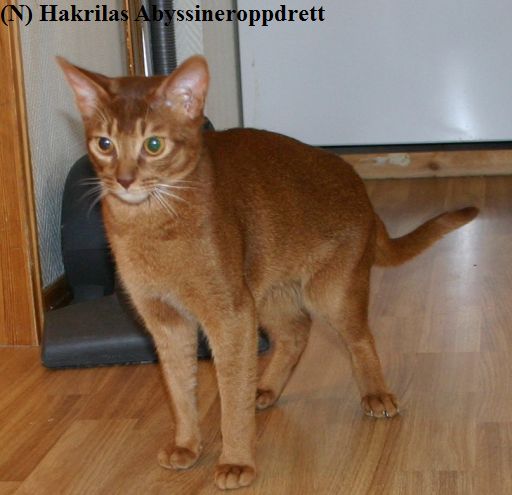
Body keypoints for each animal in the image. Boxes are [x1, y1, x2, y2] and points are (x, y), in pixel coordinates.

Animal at [58, 55, 478, 490]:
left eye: (153, 145)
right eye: (104, 144)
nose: (124, 180)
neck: (152, 226)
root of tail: (361, 188)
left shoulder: (229, 316)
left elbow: (230, 397)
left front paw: (236, 462)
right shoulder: (166, 321)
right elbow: (179, 389)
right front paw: (187, 445)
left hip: (330, 292)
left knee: (360, 337)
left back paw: (376, 394)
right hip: (267, 291)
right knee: (297, 332)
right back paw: (266, 389)